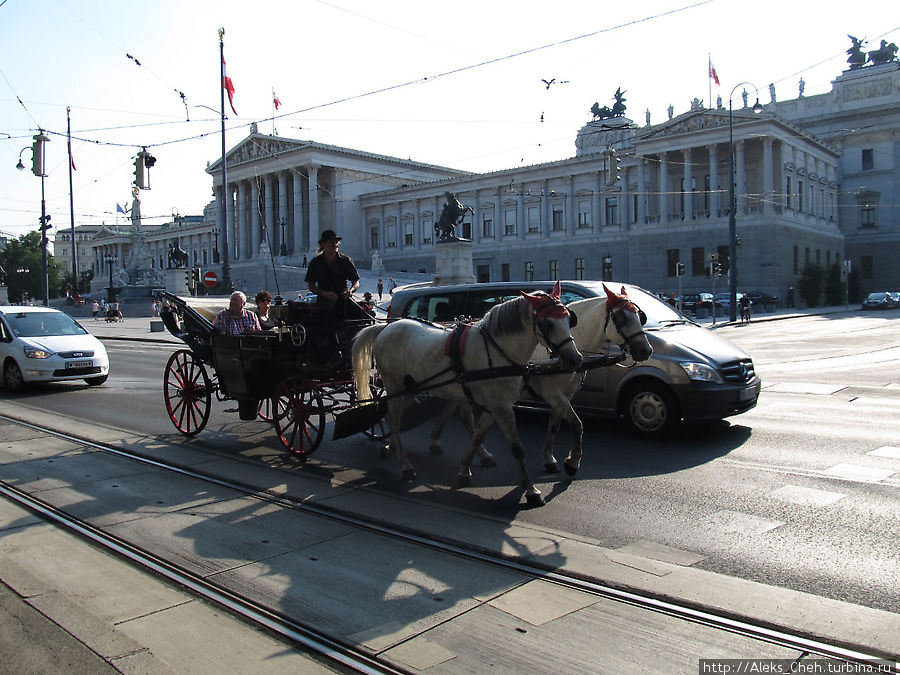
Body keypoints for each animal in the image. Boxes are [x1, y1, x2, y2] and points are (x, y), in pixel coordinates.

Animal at [352, 282, 584, 508]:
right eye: (548, 324)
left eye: (569, 319)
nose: (575, 359)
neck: (498, 351)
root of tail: (387, 326)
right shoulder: (503, 407)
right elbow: (517, 448)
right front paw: (531, 490)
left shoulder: (496, 406)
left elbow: (478, 434)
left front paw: (465, 469)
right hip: (395, 387)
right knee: (394, 418)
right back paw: (405, 465)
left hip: (411, 387)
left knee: (397, 419)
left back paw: (393, 448)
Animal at [428, 286, 652, 476]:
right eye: (621, 317)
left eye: (640, 316)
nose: (646, 350)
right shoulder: (553, 394)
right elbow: (577, 425)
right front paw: (572, 462)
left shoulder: (564, 396)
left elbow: (554, 426)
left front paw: (549, 459)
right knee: (464, 415)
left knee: (457, 411)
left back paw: (444, 444)